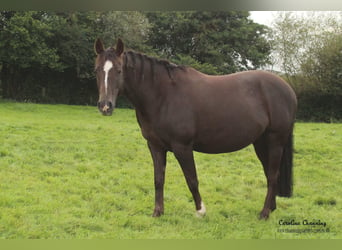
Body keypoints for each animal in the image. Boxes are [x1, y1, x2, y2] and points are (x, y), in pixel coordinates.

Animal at [93, 37, 296, 219]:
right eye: (96, 70)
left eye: (119, 70)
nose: (105, 106)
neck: (163, 95)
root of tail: (287, 89)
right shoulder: (155, 146)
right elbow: (158, 179)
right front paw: (157, 212)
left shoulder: (182, 147)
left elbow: (192, 179)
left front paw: (200, 211)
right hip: (261, 143)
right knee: (270, 173)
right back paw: (271, 208)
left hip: (275, 141)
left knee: (272, 175)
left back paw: (264, 213)